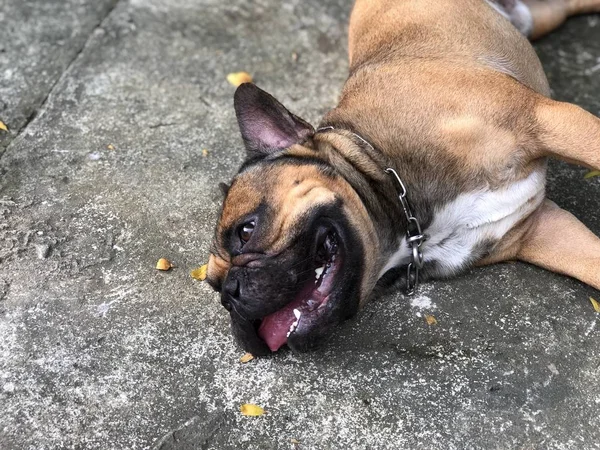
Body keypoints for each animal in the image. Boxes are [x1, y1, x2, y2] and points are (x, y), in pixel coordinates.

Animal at [205, 0, 600, 356]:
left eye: (246, 230)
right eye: (213, 286)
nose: (230, 295)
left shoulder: (543, 119)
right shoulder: (540, 230)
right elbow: (592, 262)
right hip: (538, 17)